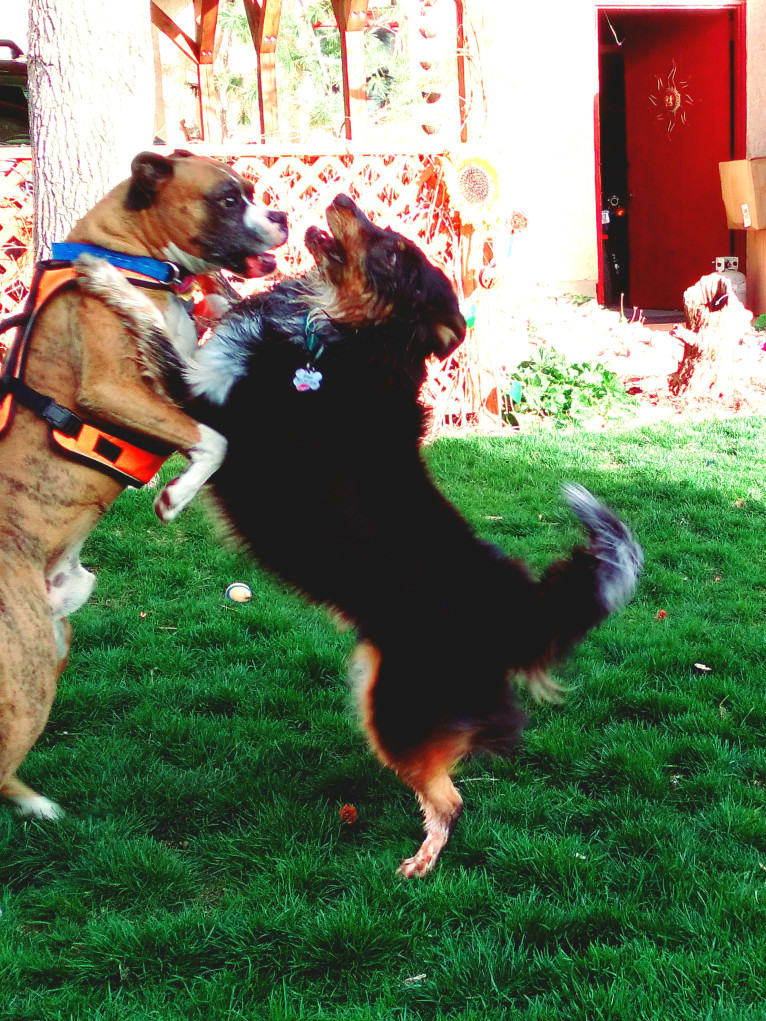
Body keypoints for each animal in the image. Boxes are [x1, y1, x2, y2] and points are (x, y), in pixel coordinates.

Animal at [0, 149, 288, 820]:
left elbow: (214, 437)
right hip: (25, 668)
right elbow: (214, 441)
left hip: (54, 641)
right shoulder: (117, 389)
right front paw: (175, 499)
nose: (283, 216)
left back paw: (37, 805)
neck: (135, 255)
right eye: (229, 199)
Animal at [78, 195, 645, 873]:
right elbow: (197, 317)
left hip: (392, 707)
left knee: (450, 799)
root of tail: (518, 610)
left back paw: (420, 862)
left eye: (396, 252)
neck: (335, 341)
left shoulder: (209, 401)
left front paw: (105, 276)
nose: (343, 199)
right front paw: (202, 292)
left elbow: (156, 330)